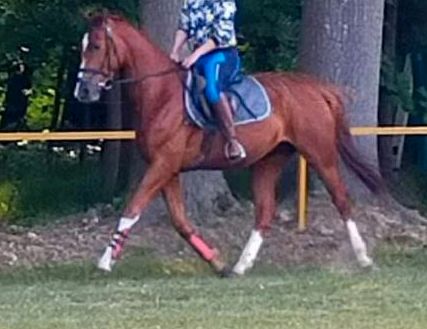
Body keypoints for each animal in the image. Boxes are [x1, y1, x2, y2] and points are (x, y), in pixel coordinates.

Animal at [73, 12, 384, 274]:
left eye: (97, 46)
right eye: (83, 46)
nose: (83, 91)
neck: (162, 95)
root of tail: (316, 88)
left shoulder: (163, 165)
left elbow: (132, 209)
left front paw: (105, 261)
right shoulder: (168, 169)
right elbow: (180, 221)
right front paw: (216, 261)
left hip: (320, 153)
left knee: (341, 199)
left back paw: (364, 258)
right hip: (269, 160)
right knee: (264, 212)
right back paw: (240, 266)